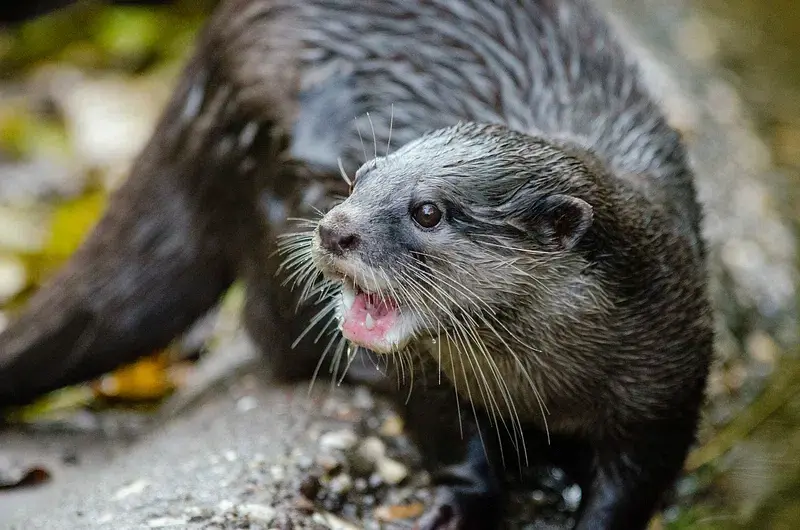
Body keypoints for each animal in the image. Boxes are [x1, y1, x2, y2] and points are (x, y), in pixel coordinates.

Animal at [0, 1, 712, 528]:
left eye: (428, 210)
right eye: (362, 175)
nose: (335, 228)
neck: (543, 387)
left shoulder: (669, 386)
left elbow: (636, 481)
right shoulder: (427, 377)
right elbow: (449, 437)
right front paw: (457, 503)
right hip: (268, 163)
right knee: (270, 327)